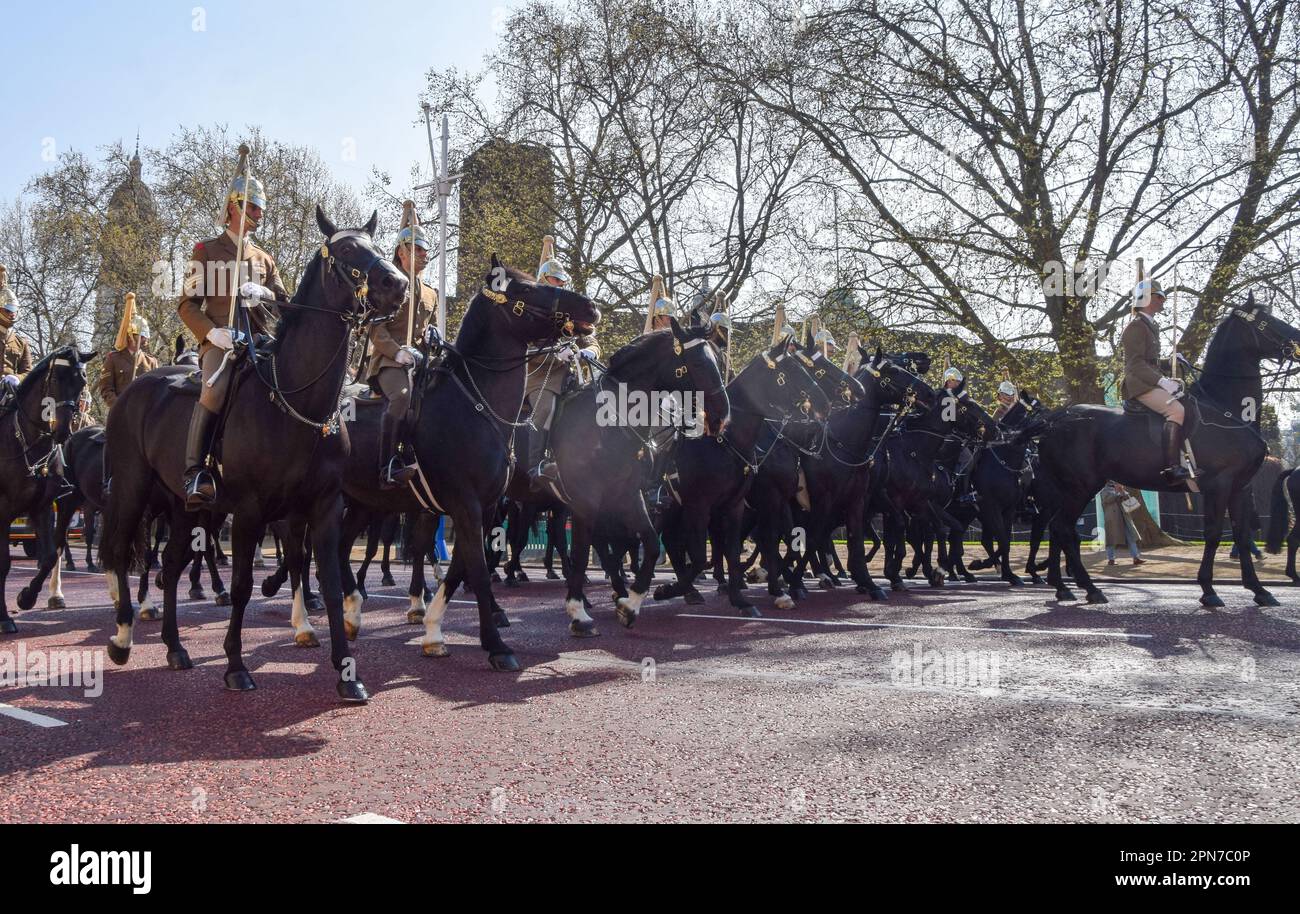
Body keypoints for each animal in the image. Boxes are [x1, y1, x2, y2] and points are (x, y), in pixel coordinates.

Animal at [0, 348, 94, 637]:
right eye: (53, 380)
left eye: (81, 382)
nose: (62, 431)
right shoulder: (3, 511)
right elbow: (4, 562)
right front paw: (5, 618)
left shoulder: (42, 507)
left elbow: (50, 556)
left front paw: (26, 597)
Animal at [98, 209, 405, 702]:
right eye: (345, 249)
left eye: (373, 245)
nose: (398, 283)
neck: (297, 400)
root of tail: (135, 389)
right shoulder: (248, 511)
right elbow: (242, 587)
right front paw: (236, 665)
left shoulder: (323, 507)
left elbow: (330, 582)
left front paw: (346, 672)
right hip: (131, 488)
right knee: (118, 550)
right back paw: (123, 637)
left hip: (183, 504)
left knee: (170, 562)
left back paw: (174, 646)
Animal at [1029, 293, 1294, 608]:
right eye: (1266, 321)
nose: (1296, 341)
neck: (1227, 409)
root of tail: (1056, 419)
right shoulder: (1219, 485)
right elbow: (1214, 534)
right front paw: (1209, 590)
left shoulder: (1240, 487)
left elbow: (1242, 535)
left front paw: (1258, 589)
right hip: (1081, 487)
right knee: (1062, 529)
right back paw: (1089, 588)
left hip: (1068, 489)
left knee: (1059, 530)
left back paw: (1063, 586)